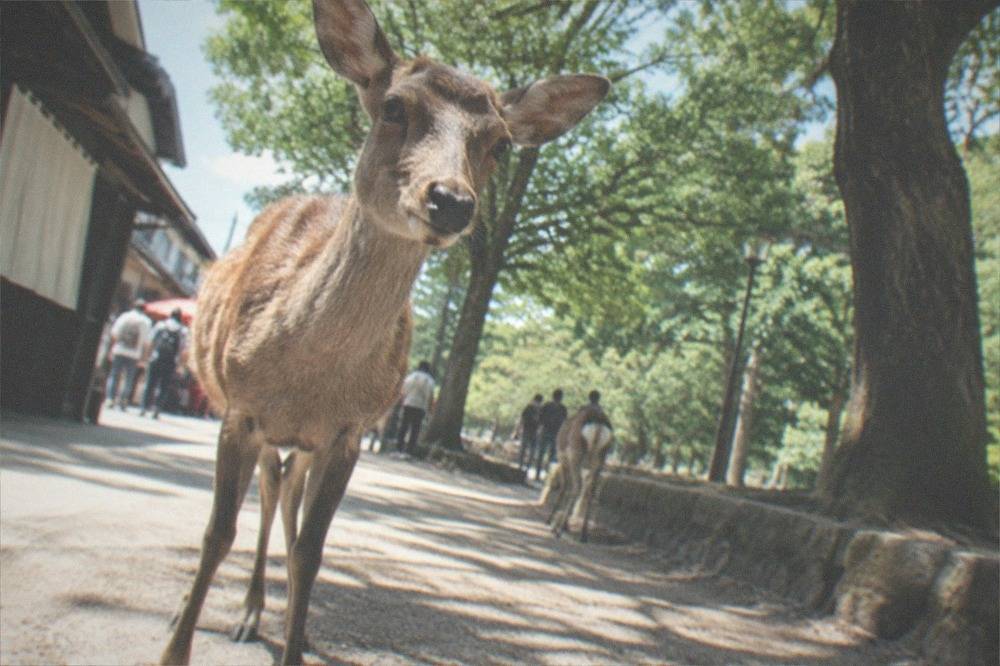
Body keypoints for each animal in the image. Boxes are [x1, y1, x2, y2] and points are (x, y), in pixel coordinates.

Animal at [541, 391, 614, 543]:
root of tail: (598, 423)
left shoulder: (564, 460)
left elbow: (564, 488)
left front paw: (550, 521)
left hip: (576, 456)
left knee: (576, 486)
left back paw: (558, 529)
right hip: (599, 459)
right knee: (590, 490)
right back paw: (583, 534)